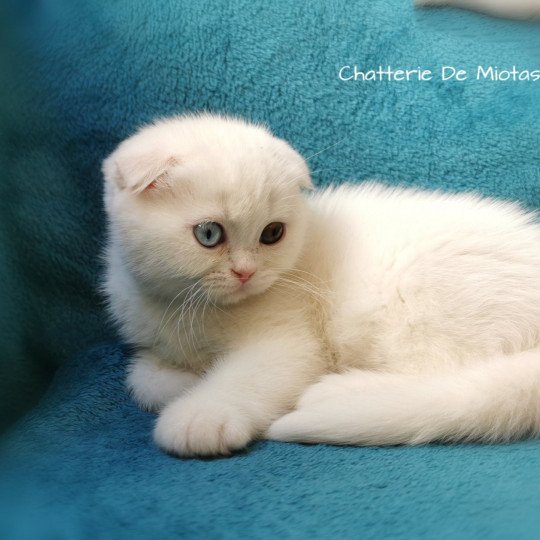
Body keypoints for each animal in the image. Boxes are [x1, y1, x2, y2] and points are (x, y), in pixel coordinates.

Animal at [102, 114, 540, 456]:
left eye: (272, 233)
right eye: (209, 234)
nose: (246, 273)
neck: (185, 309)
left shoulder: (286, 339)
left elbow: (250, 376)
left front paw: (200, 416)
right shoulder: (147, 336)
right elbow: (143, 378)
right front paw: (186, 380)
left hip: (415, 301)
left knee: (441, 378)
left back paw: (337, 392)